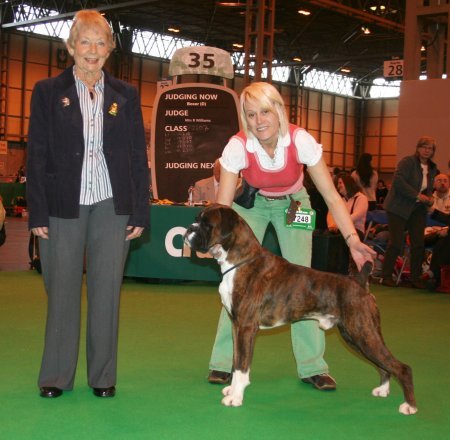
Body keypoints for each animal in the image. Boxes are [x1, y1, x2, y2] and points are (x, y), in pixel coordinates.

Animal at [184, 205, 418, 414]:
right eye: (196, 219)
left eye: (207, 224)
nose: (188, 229)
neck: (240, 261)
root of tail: (360, 282)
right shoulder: (236, 326)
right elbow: (236, 361)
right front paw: (232, 390)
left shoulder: (246, 328)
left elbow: (242, 366)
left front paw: (236, 397)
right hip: (356, 336)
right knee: (384, 365)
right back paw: (383, 390)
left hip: (362, 333)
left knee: (401, 367)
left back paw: (409, 406)